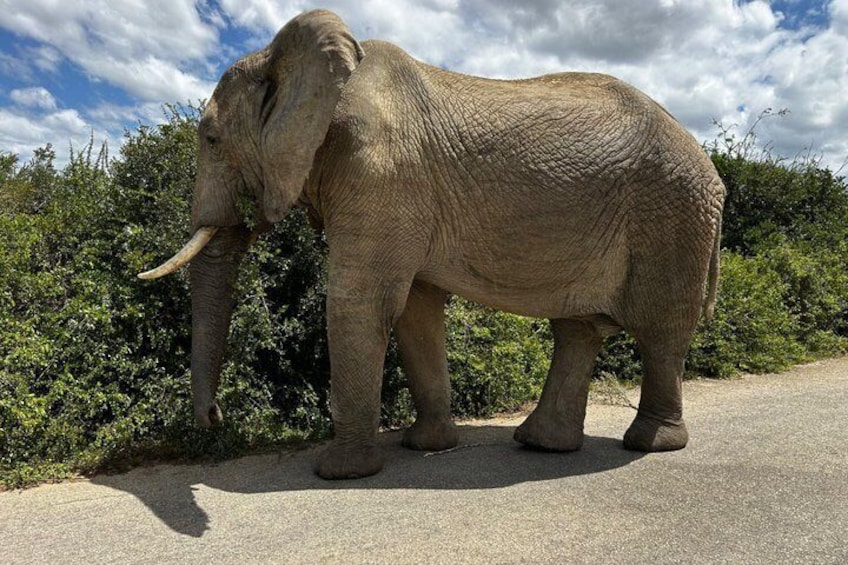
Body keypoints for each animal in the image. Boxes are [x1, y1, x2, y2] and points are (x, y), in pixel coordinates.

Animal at [139, 9, 725, 479]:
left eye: (211, 139)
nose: (214, 418)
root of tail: (712, 169)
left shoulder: (380, 173)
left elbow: (361, 302)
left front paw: (339, 472)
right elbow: (415, 309)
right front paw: (425, 446)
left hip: (673, 213)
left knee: (661, 328)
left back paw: (650, 444)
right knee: (578, 330)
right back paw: (541, 444)